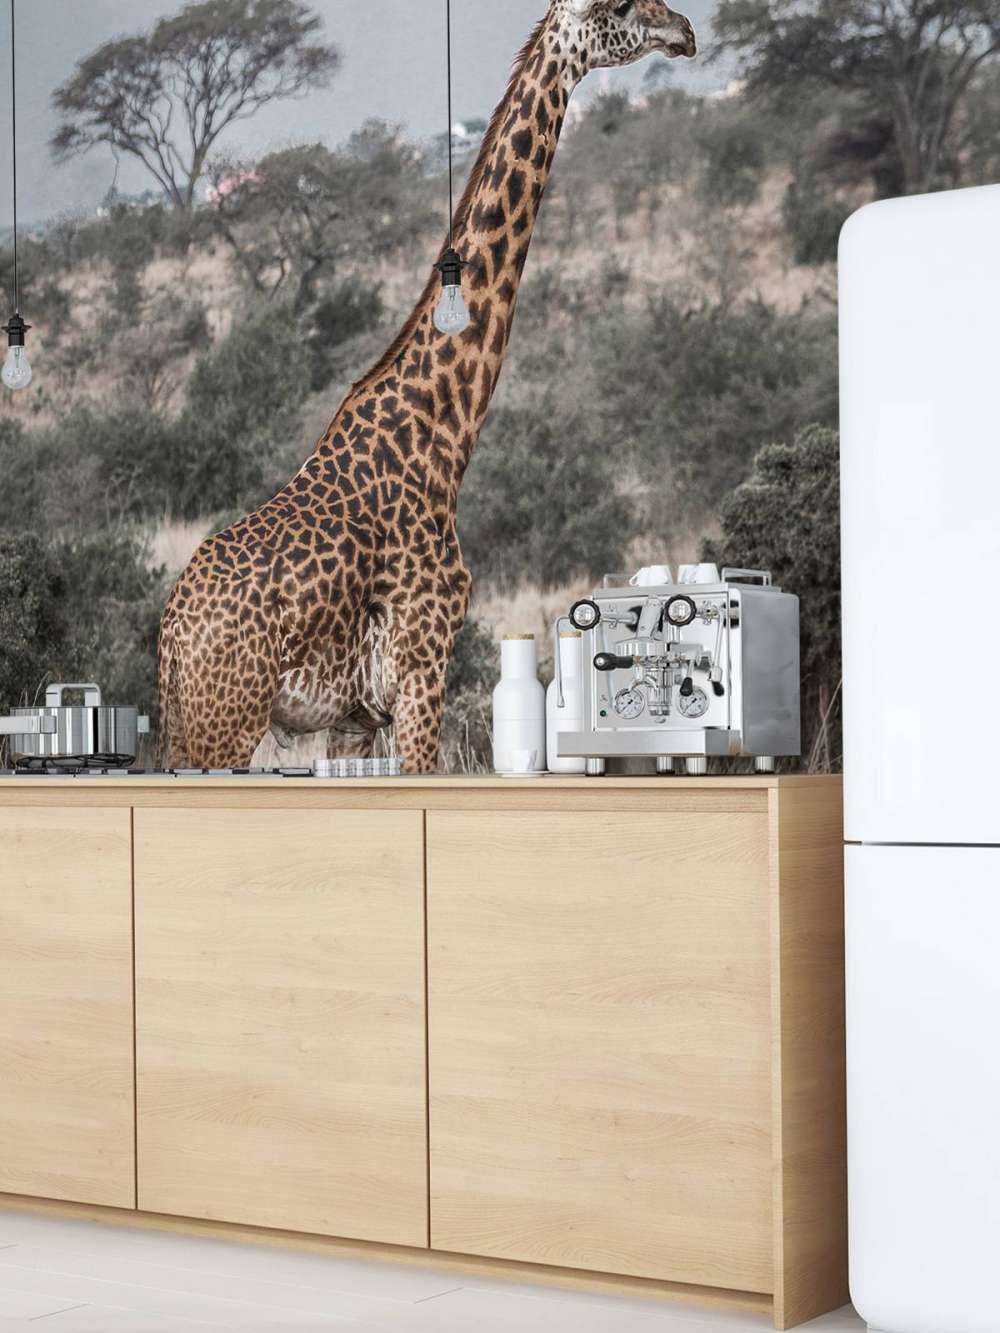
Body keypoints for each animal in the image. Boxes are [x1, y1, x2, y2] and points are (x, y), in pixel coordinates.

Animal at [158, 0, 697, 774]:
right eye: (621, 7)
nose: (685, 30)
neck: (441, 432)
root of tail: (171, 639)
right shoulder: (422, 666)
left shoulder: (355, 716)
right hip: (221, 726)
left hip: (191, 726)